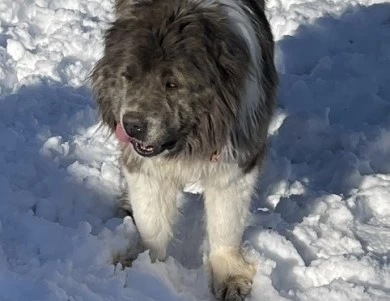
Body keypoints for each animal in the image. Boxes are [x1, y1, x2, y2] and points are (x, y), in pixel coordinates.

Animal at [90, 0, 278, 298]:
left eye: (172, 84)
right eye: (128, 76)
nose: (132, 126)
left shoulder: (236, 161)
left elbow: (226, 222)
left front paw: (229, 276)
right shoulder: (145, 168)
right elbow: (152, 222)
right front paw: (145, 269)